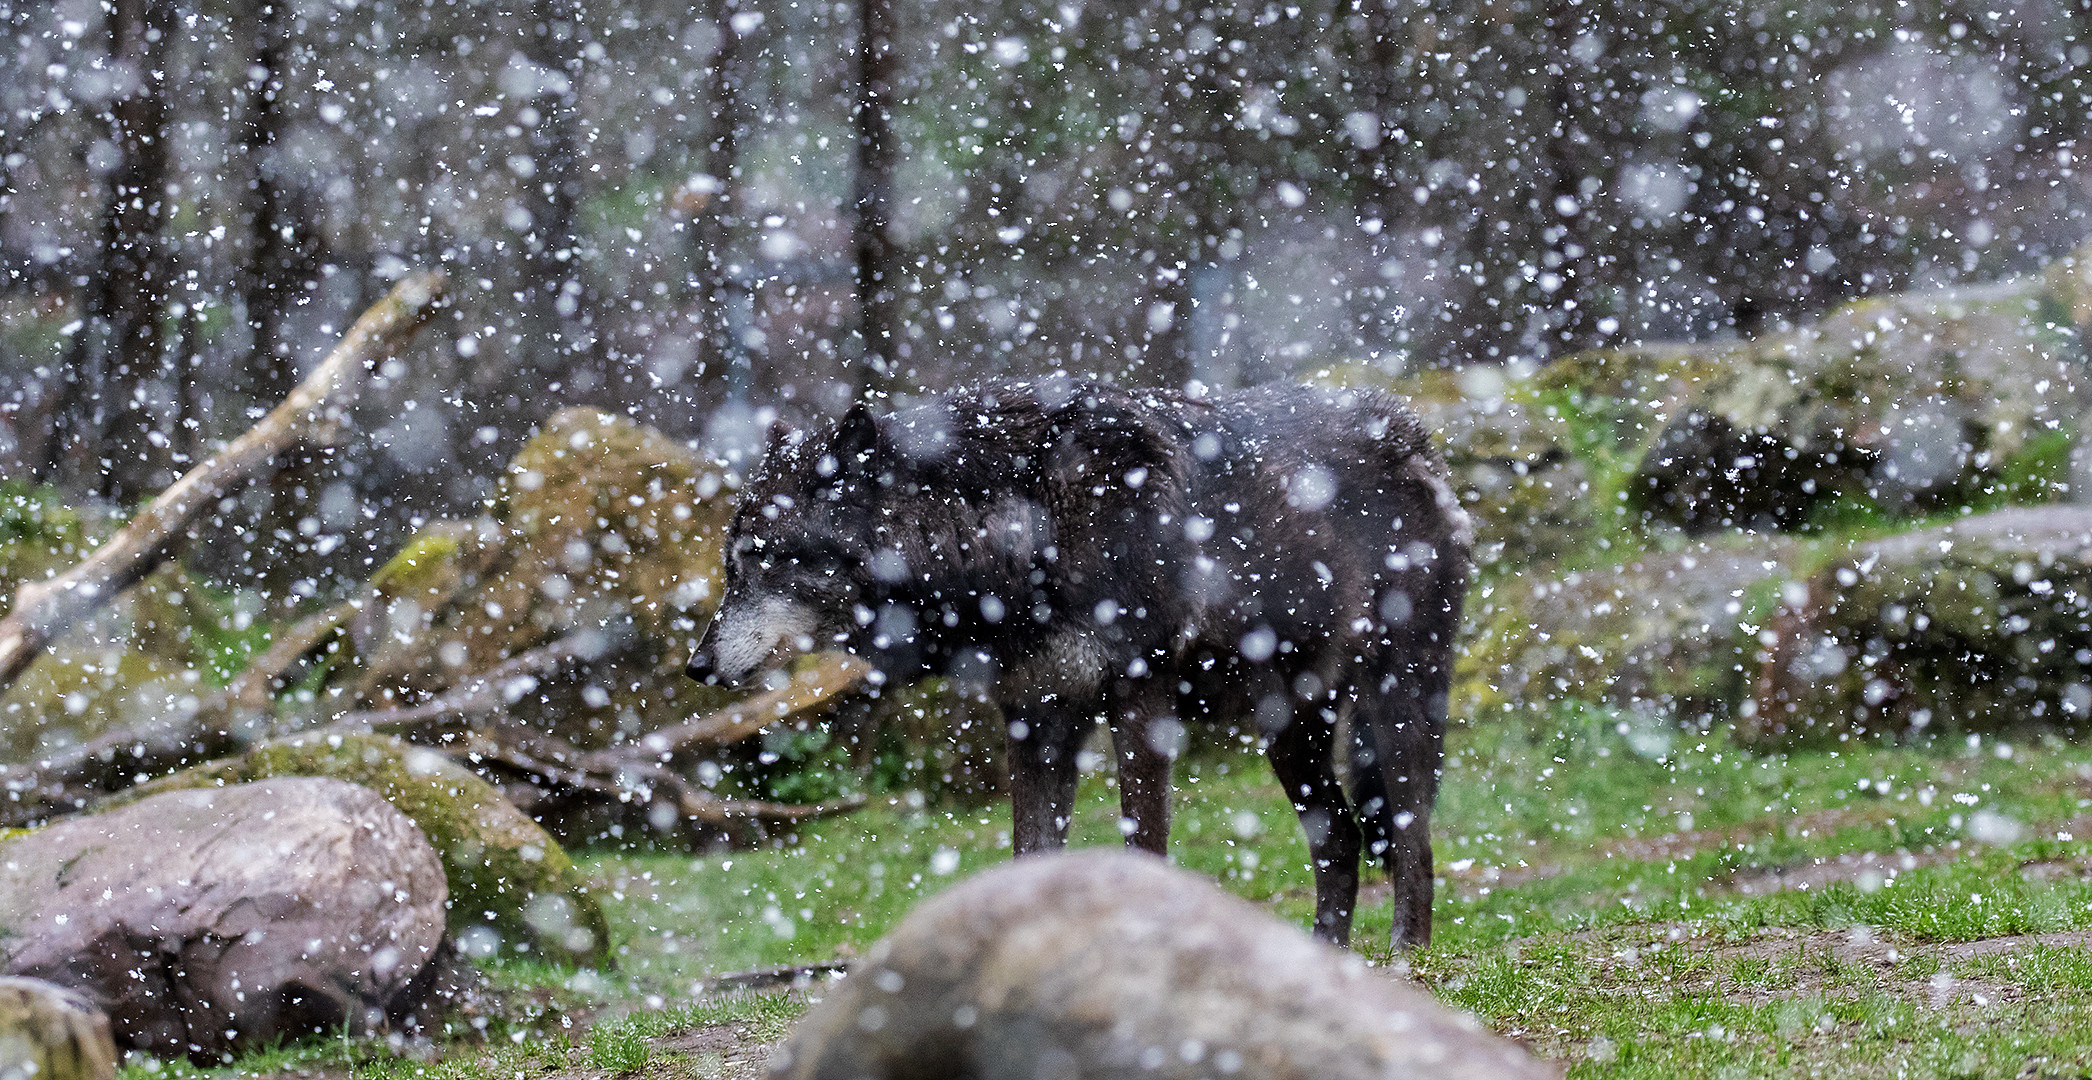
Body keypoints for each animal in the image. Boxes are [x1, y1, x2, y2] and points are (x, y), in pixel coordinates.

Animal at [690, 376, 1472, 946]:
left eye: (757, 559)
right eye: (730, 566)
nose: (696, 667)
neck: (1018, 531)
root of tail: (1414, 434)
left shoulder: (1139, 697)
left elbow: (1143, 844)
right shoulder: (1037, 720)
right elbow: (1030, 854)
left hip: (1396, 701)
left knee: (1414, 840)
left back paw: (1406, 955)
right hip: (1289, 729)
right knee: (1340, 837)